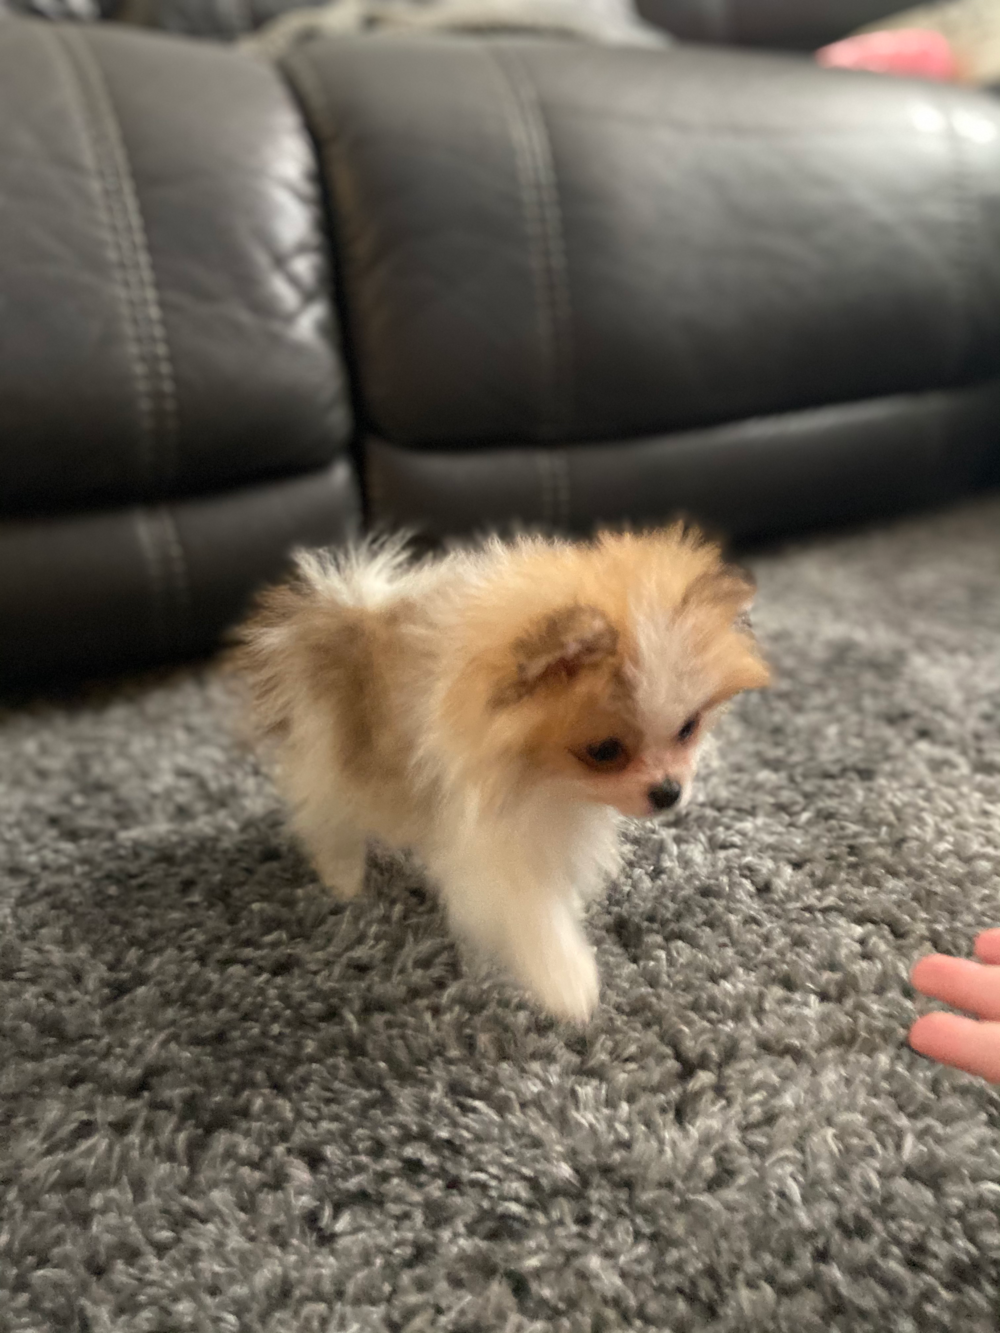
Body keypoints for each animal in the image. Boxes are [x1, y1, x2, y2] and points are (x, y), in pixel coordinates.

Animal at [234, 522, 768, 1018]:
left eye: (688, 727)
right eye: (604, 750)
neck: (546, 783)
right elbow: (532, 912)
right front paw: (569, 983)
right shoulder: (491, 845)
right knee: (327, 820)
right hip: (329, 765)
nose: (669, 791)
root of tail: (346, 617)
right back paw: (342, 878)